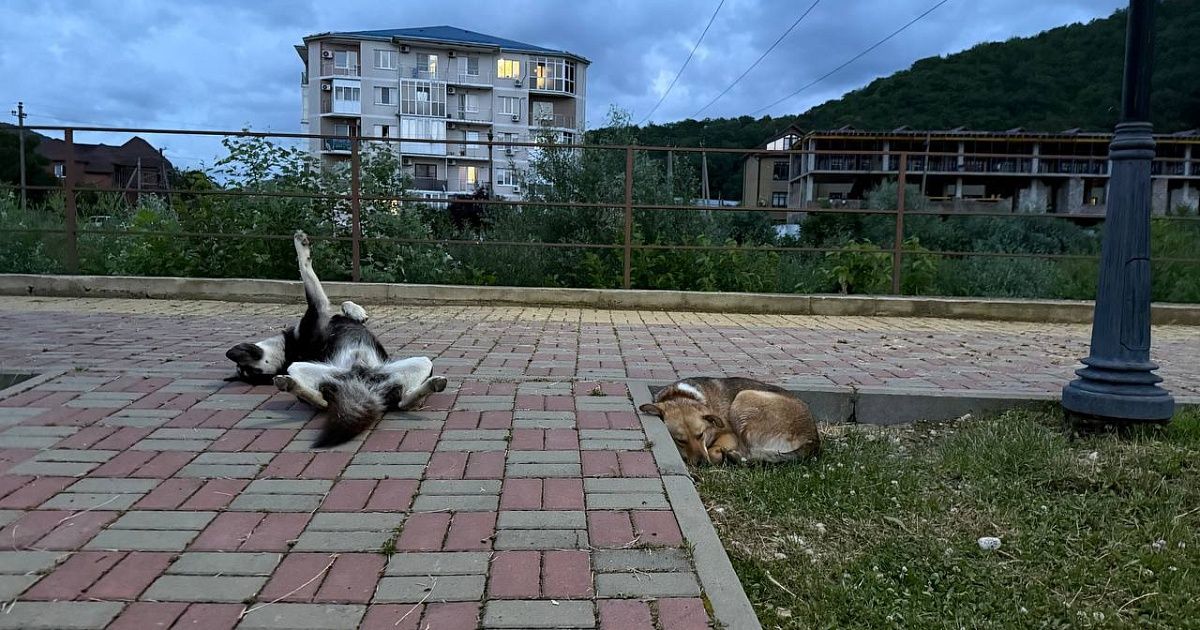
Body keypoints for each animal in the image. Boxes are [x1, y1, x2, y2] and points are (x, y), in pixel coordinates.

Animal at [225, 230, 447, 447]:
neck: (288, 349)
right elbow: (308, 274)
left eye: (253, 372)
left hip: (417, 364)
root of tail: (361, 384)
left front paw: (356, 311)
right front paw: (301, 246)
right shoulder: (319, 310)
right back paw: (290, 385)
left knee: (403, 400)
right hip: (304, 370)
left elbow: (344, 304)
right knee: (323, 402)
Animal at [639, 377, 819, 466]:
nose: (703, 464)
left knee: (748, 454)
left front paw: (719, 454)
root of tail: (813, 439)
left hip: (744, 397)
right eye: (680, 441)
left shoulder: (729, 435)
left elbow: (715, 450)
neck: (681, 396)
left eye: (701, 435)